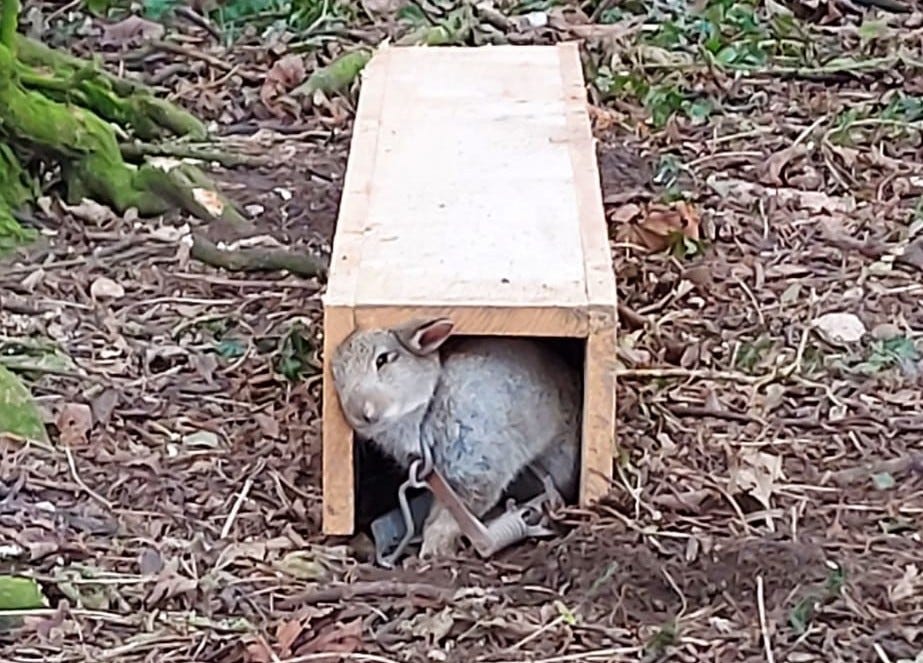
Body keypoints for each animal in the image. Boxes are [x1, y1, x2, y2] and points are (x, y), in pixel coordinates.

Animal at [330, 317, 581, 558]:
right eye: (336, 376)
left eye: (383, 359)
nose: (360, 414)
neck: (426, 410)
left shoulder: (476, 468)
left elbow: (451, 515)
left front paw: (433, 550)